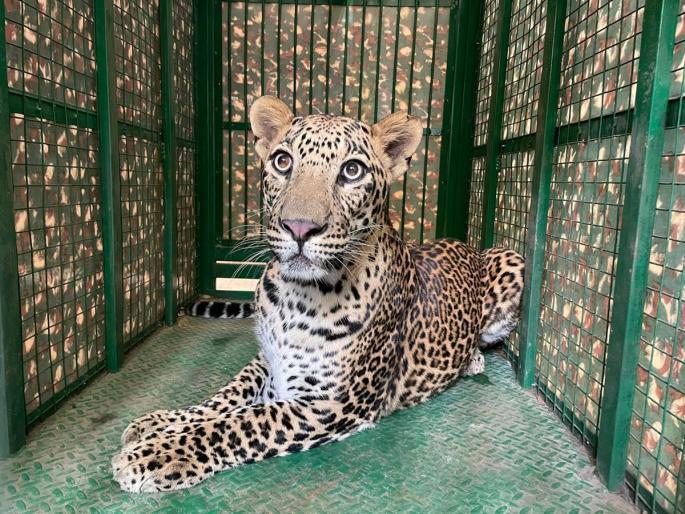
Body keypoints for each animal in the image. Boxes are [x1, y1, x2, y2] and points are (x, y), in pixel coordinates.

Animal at [112, 96, 525, 492]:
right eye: (283, 162)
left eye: (352, 171)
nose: (299, 227)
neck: (294, 296)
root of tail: (466, 243)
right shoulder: (267, 361)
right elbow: (226, 396)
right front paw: (161, 423)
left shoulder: (331, 402)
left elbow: (242, 423)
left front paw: (157, 456)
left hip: (511, 258)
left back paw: (472, 360)